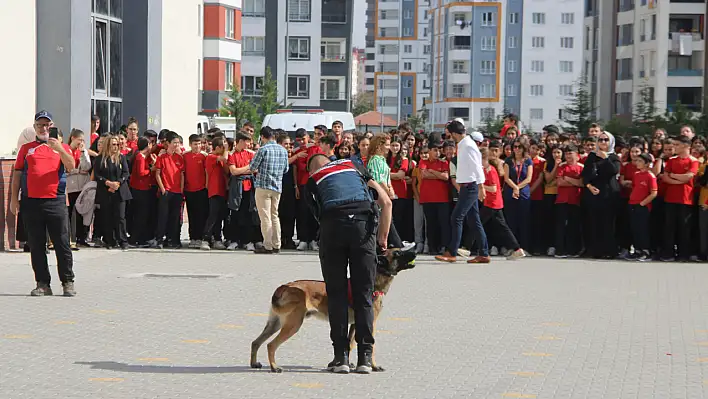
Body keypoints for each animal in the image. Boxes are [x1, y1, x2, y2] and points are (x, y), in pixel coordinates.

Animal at [250, 248, 418, 374]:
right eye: (397, 253)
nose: (415, 251)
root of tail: (284, 286)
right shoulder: (369, 323)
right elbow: (369, 345)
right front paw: (373, 366)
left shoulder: (354, 324)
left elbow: (349, 344)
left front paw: (342, 363)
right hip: (293, 324)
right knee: (270, 345)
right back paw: (274, 367)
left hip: (275, 324)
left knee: (256, 342)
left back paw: (254, 363)